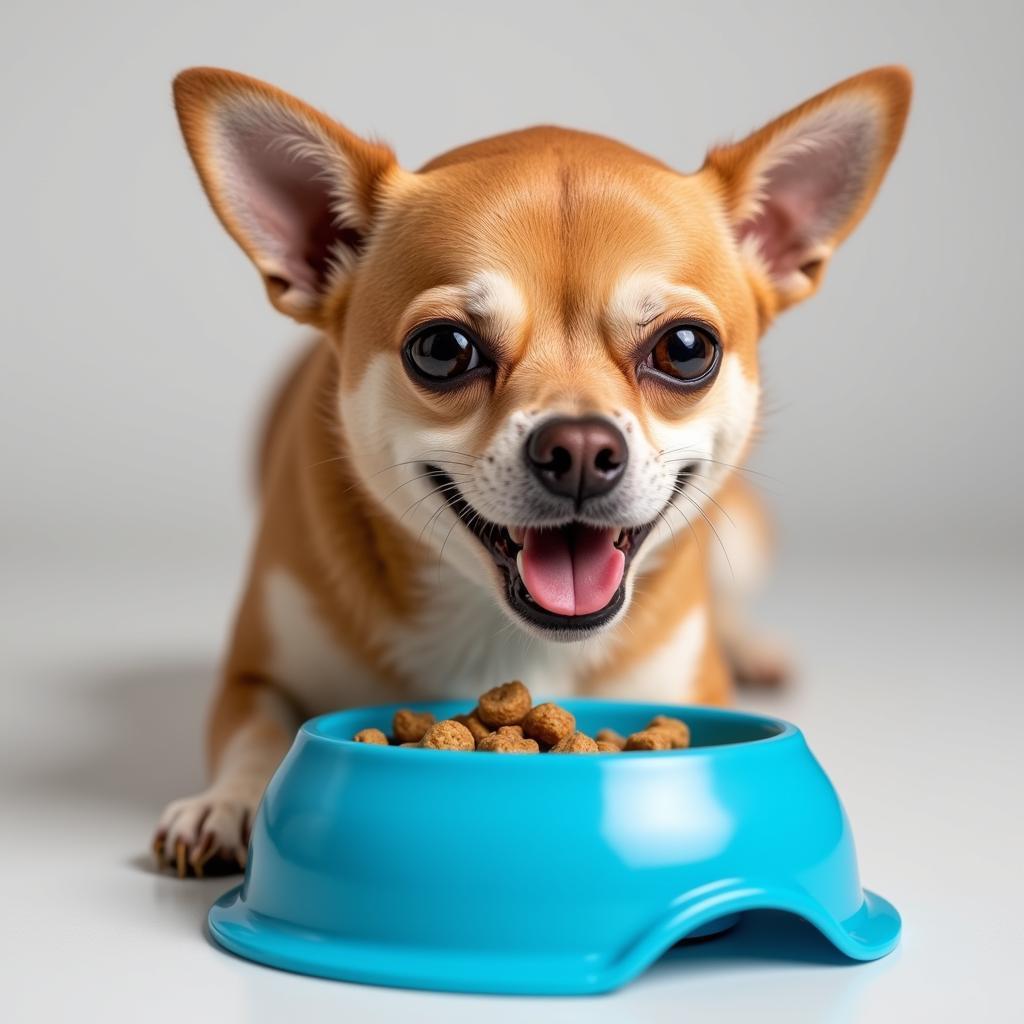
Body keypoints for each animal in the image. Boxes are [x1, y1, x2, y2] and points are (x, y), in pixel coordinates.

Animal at [153, 68, 913, 876]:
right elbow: (257, 733)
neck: (508, 638)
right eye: (443, 349)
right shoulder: (252, 676)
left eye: (686, 349)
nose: (578, 447)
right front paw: (227, 802)